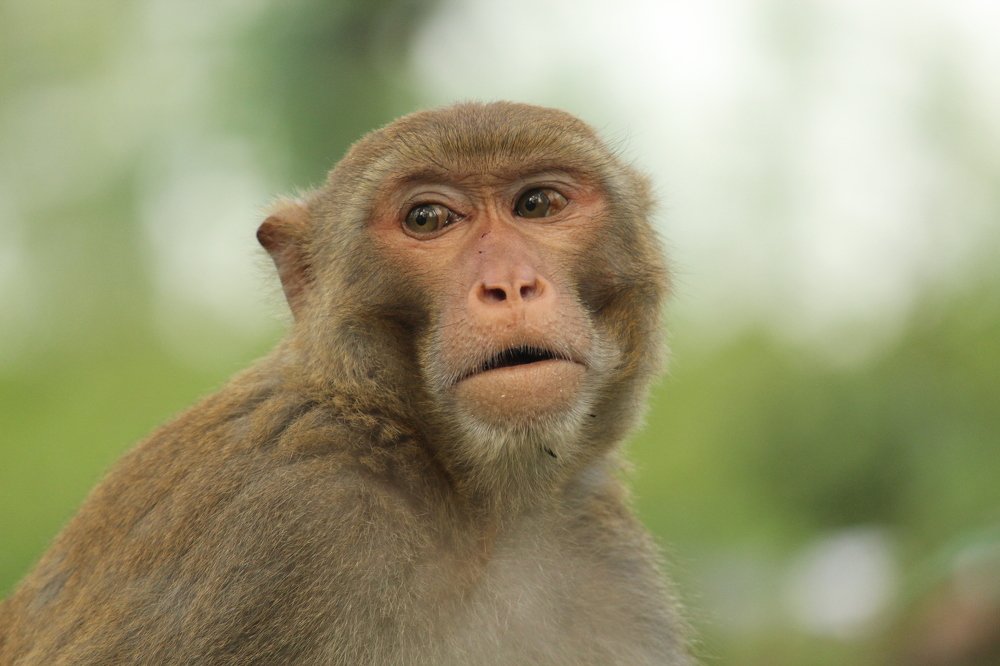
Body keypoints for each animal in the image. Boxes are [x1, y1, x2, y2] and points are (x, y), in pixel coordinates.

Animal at [0, 102, 691, 665]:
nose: (510, 285)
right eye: (428, 218)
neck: (482, 506)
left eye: (538, 204)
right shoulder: (283, 525)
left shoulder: (603, 552)